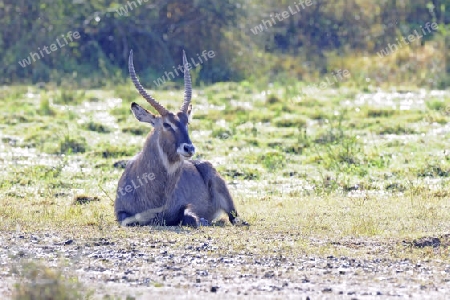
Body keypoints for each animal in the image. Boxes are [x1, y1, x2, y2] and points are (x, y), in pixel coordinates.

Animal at [112, 49, 246, 227]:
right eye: (166, 124)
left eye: (187, 122)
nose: (189, 148)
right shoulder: (121, 213)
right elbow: (126, 220)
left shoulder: (187, 207)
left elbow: (190, 217)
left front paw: (202, 220)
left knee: (234, 218)